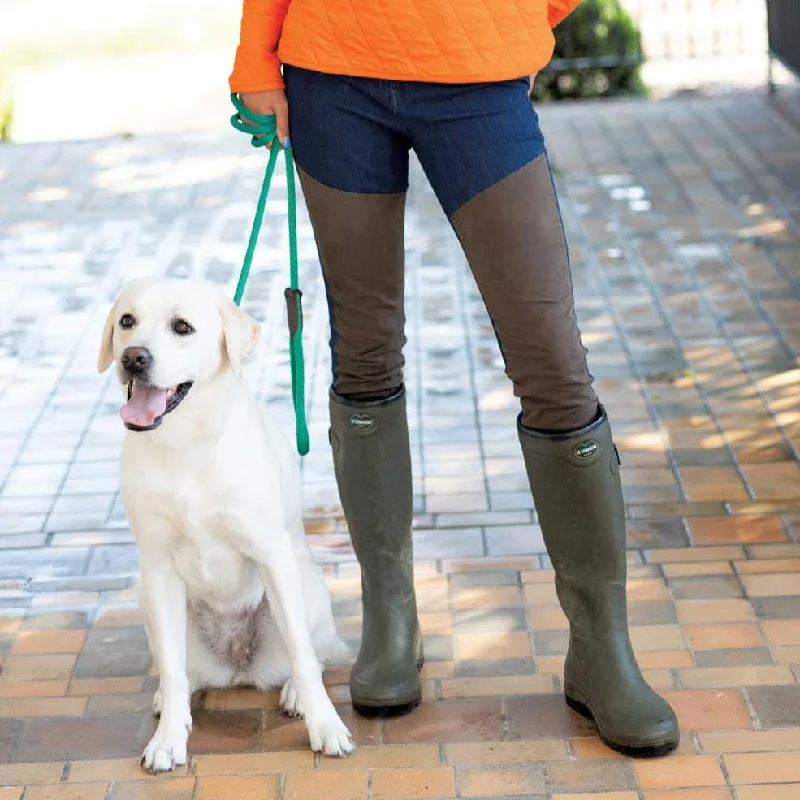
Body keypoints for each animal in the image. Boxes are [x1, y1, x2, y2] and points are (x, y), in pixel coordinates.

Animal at [97, 278, 354, 772]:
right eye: (127, 321)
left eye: (182, 327)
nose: (133, 357)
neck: (185, 444)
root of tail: (238, 667)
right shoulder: (157, 567)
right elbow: (172, 670)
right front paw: (168, 739)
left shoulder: (271, 554)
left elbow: (303, 654)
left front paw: (326, 726)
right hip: (147, 600)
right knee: (180, 671)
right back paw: (169, 703)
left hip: (306, 585)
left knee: (315, 654)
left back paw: (296, 692)